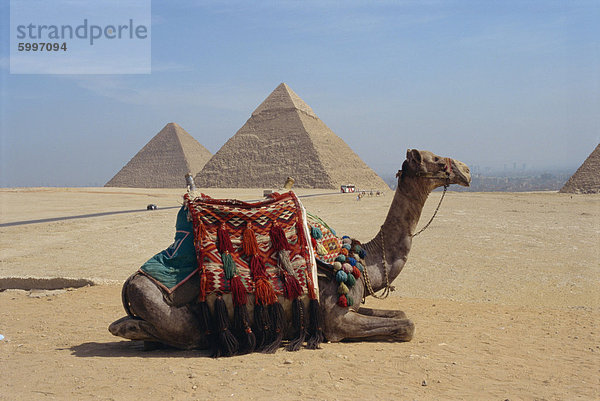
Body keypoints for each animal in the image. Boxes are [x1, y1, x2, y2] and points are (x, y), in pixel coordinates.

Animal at [110, 149, 472, 350]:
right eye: (436, 160)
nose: (467, 170)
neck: (363, 262)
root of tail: (129, 284)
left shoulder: (354, 306)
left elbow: (400, 315)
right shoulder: (335, 321)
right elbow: (407, 326)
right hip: (170, 312)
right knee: (164, 332)